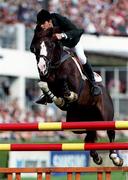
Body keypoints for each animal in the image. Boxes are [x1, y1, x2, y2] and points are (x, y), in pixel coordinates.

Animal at [30, 26, 123, 167]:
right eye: (35, 48)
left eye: (50, 45)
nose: (42, 67)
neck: (55, 66)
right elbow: (48, 89)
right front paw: (59, 98)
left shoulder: (75, 85)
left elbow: (65, 84)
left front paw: (68, 95)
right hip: (80, 124)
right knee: (90, 135)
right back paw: (96, 157)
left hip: (105, 115)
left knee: (110, 131)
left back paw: (115, 157)